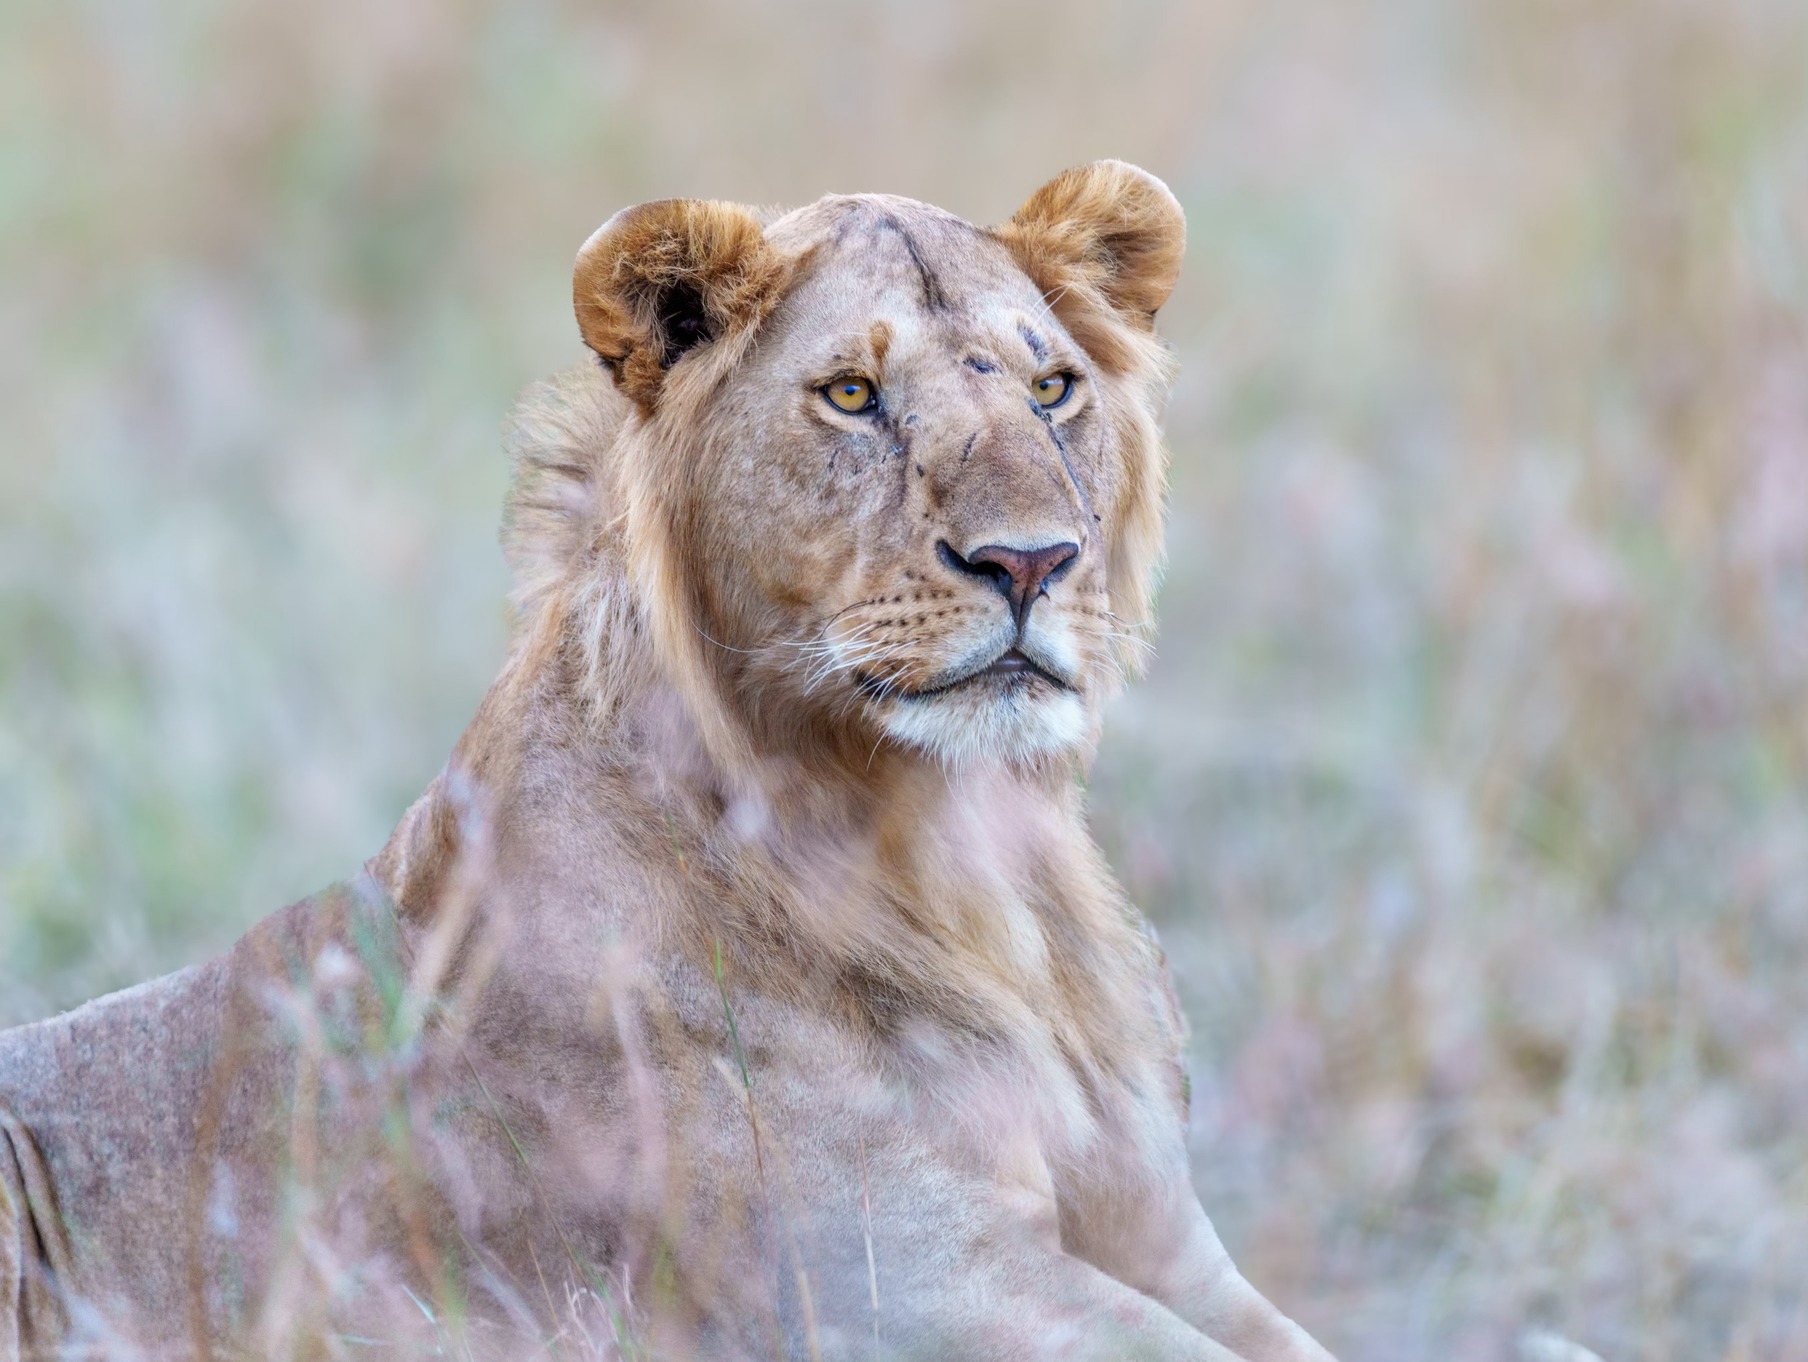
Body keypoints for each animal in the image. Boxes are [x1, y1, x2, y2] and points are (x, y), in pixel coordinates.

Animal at [0, 161, 1330, 1360]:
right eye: (852, 394)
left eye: (1052, 387)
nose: (1030, 560)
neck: (966, 857)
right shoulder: (899, 1279)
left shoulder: (1167, 1246)